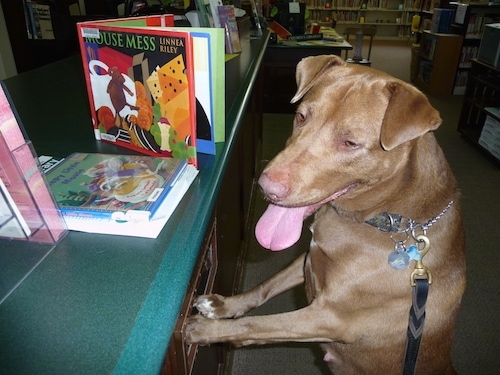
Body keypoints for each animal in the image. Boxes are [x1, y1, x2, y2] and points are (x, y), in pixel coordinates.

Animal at [186, 54, 466, 374]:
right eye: (301, 116)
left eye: (350, 143)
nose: (267, 186)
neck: (394, 220)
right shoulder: (309, 256)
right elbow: (264, 287)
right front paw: (222, 306)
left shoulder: (329, 317)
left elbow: (257, 325)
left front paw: (204, 330)